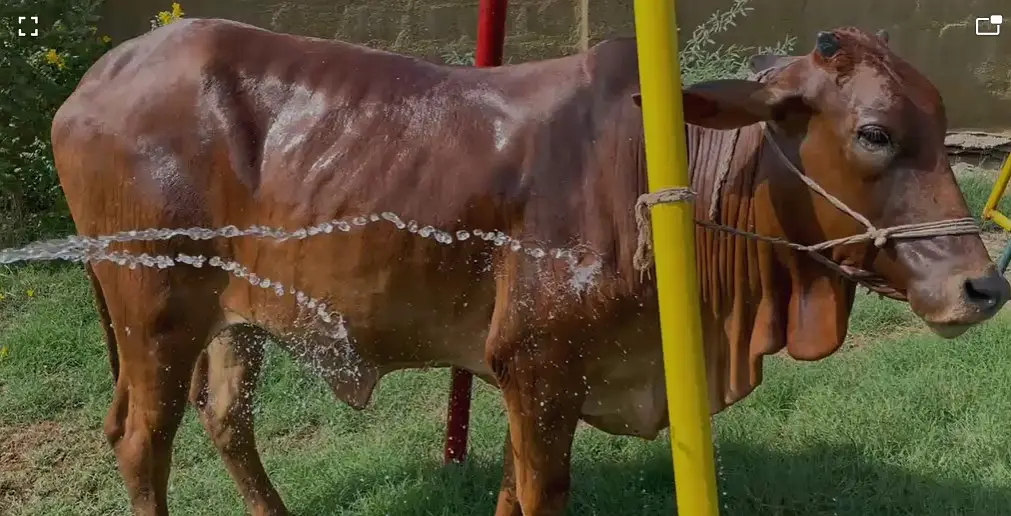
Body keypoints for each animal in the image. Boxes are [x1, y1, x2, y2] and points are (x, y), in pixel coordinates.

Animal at [50, 18, 1008, 516]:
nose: (981, 286)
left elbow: (511, 493)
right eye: (875, 132)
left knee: (226, 424)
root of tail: (98, 76)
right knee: (141, 442)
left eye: (939, 122)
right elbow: (542, 495)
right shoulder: (540, 370)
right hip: (154, 314)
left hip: (232, 320)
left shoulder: (526, 379)